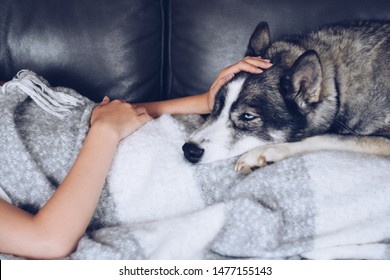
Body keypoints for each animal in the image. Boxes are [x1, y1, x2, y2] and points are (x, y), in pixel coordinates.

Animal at [183, 19, 390, 172]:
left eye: (247, 117)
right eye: (216, 106)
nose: (188, 151)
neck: (337, 81)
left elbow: (326, 137)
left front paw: (268, 151)